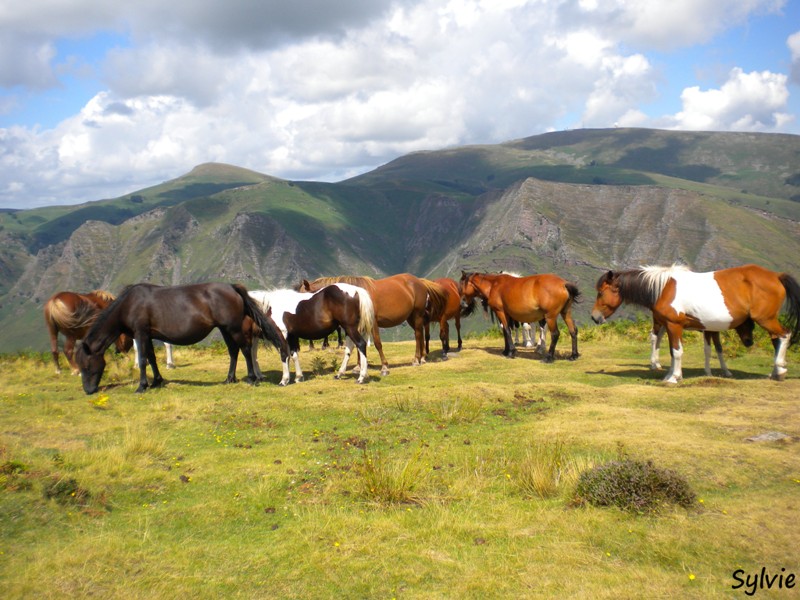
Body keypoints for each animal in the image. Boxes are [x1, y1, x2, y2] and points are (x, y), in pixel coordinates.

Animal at [76, 282, 290, 394]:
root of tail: (231, 287)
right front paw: (157, 381)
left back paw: (252, 378)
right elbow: (152, 358)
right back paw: (229, 379)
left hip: (233, 328)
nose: (88, 390)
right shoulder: (148, 335)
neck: (129, 303)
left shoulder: (141, 333)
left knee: (244, 350)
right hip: (225, 329)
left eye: (86, 366)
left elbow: (143, 360)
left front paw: (142, 386)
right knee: (233, 351)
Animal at [302, 274, 450, 376]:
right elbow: (358, 346)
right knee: (420, 334)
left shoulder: (373, 323)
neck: (355, 295)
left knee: (418, 335)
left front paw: (384, 367)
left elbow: (378, 344)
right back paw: (423, 357)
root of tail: (419, 281)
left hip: (417, 315)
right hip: (410, 318)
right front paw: (358, 367)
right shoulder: (358, 325)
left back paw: (416, 359)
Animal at [592, 264, 800, 384]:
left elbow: (677, 352)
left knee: (784, 335)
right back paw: (775, 373)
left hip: (766, 319)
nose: (594, 317)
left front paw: (674, 377)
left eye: (601, 293)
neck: (664, 288)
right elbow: (672, 351)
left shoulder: (674, 325)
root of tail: (776, 276)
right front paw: (670, 374)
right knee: (777, 339)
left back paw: (781, 369)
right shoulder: (670, 326)